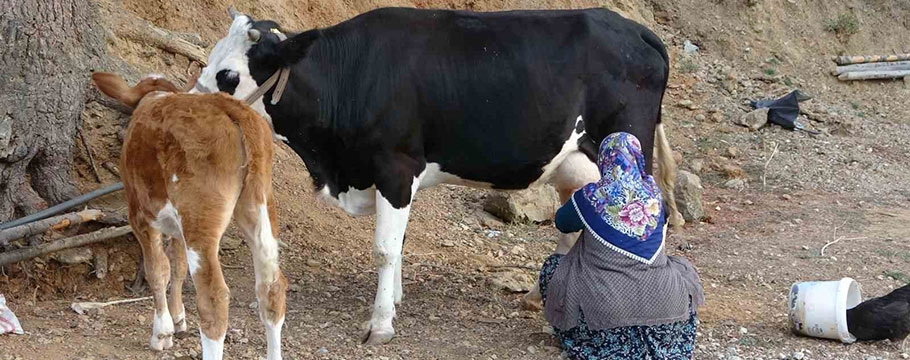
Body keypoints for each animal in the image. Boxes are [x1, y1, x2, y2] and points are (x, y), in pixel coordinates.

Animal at [92, 72, 284, 360]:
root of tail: (230, 107)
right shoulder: (177, 227)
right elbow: (178, 266)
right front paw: (178, 318)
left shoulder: (140, 215)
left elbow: (158, 269)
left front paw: (162, 332)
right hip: (260, 209)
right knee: (272, 288)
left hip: (200, 218)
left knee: (214, 298)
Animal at [198, 7, 684, 346]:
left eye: (228, 75)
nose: (193, 109)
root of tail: (634, 28)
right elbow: (399, 244)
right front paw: (394, 300)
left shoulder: (395, 168)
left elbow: (384, 249)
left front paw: (380, 324)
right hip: (575, 162)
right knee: (572, 227)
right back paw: (538, 300)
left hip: (625, 150)